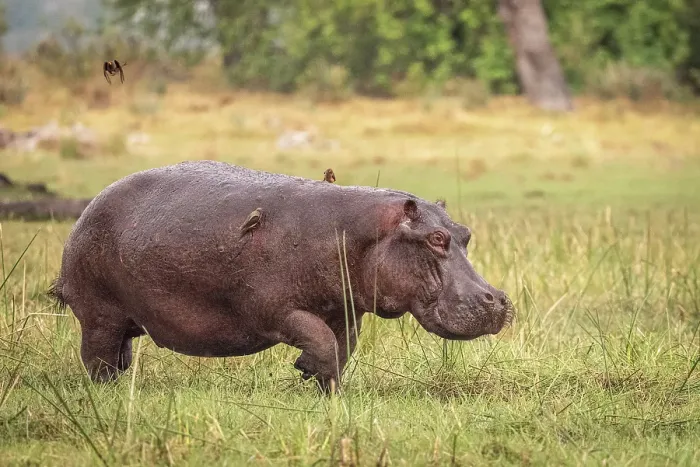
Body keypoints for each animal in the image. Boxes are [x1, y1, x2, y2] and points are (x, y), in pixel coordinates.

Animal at [48, 160, 514, 392]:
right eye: (435, 238)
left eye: (465, 234)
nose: (498, 299)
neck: (358, 231)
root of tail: (88, 208)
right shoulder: (274, 310)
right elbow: (320, 340)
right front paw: (307, 370)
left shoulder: (345, 309)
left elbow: (341, 349)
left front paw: (325, 390)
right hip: (99, 314)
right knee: (96, 357)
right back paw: (106, 392)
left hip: (124, 319)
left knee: (119, 353)